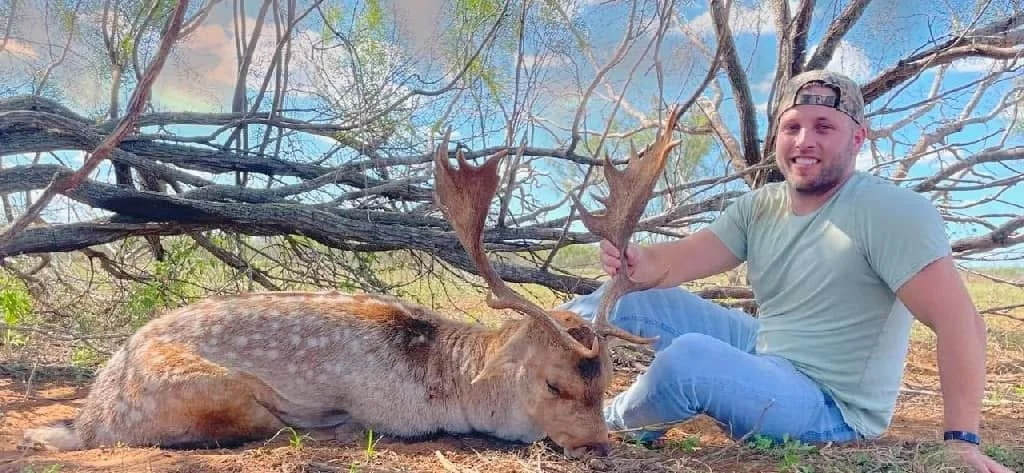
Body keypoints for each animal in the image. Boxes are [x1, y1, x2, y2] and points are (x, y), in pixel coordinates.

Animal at [23, 105, 684, 458]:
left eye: (608, 381)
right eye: (552, 384)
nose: (598, 445)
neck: (447, 381)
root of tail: (90, 417)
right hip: (212, 391)